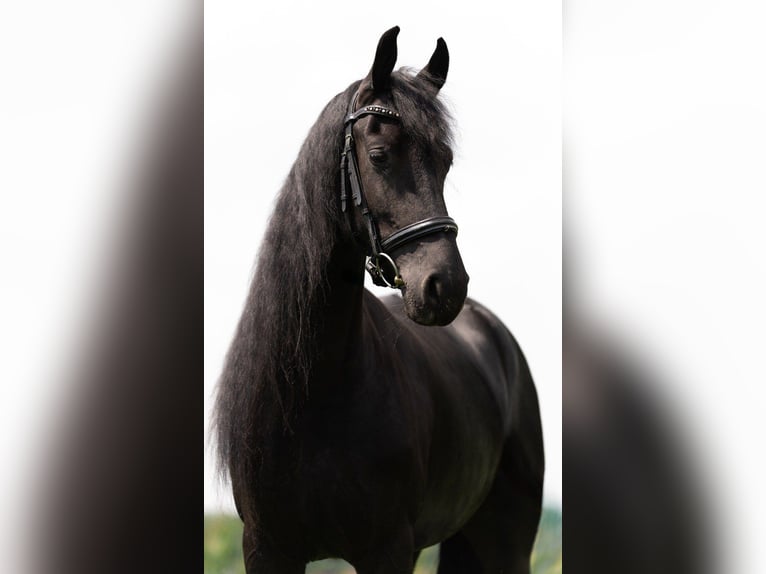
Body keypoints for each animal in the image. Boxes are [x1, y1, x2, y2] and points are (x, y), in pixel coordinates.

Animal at [213, 26, 544, 574]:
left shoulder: (388, 548)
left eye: (445, 162)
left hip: (506, 540)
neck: (311, 393)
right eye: (379, 156)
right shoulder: (266, 548)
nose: (444, 286)